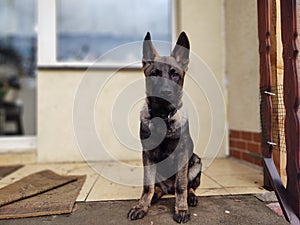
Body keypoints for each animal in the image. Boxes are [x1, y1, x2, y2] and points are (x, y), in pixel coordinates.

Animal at [127, 31, 203, 223]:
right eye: (155, 74)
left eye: (175, 74)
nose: (166, 92)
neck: (162, 117)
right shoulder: (147, 155)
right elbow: (147, 185)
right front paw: (142, 206)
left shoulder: (182, 154)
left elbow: (181, 185)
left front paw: (181, 209)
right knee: (157, 188)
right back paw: (154, 196)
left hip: (196, 161)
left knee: (188, 187)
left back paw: (190, 198)